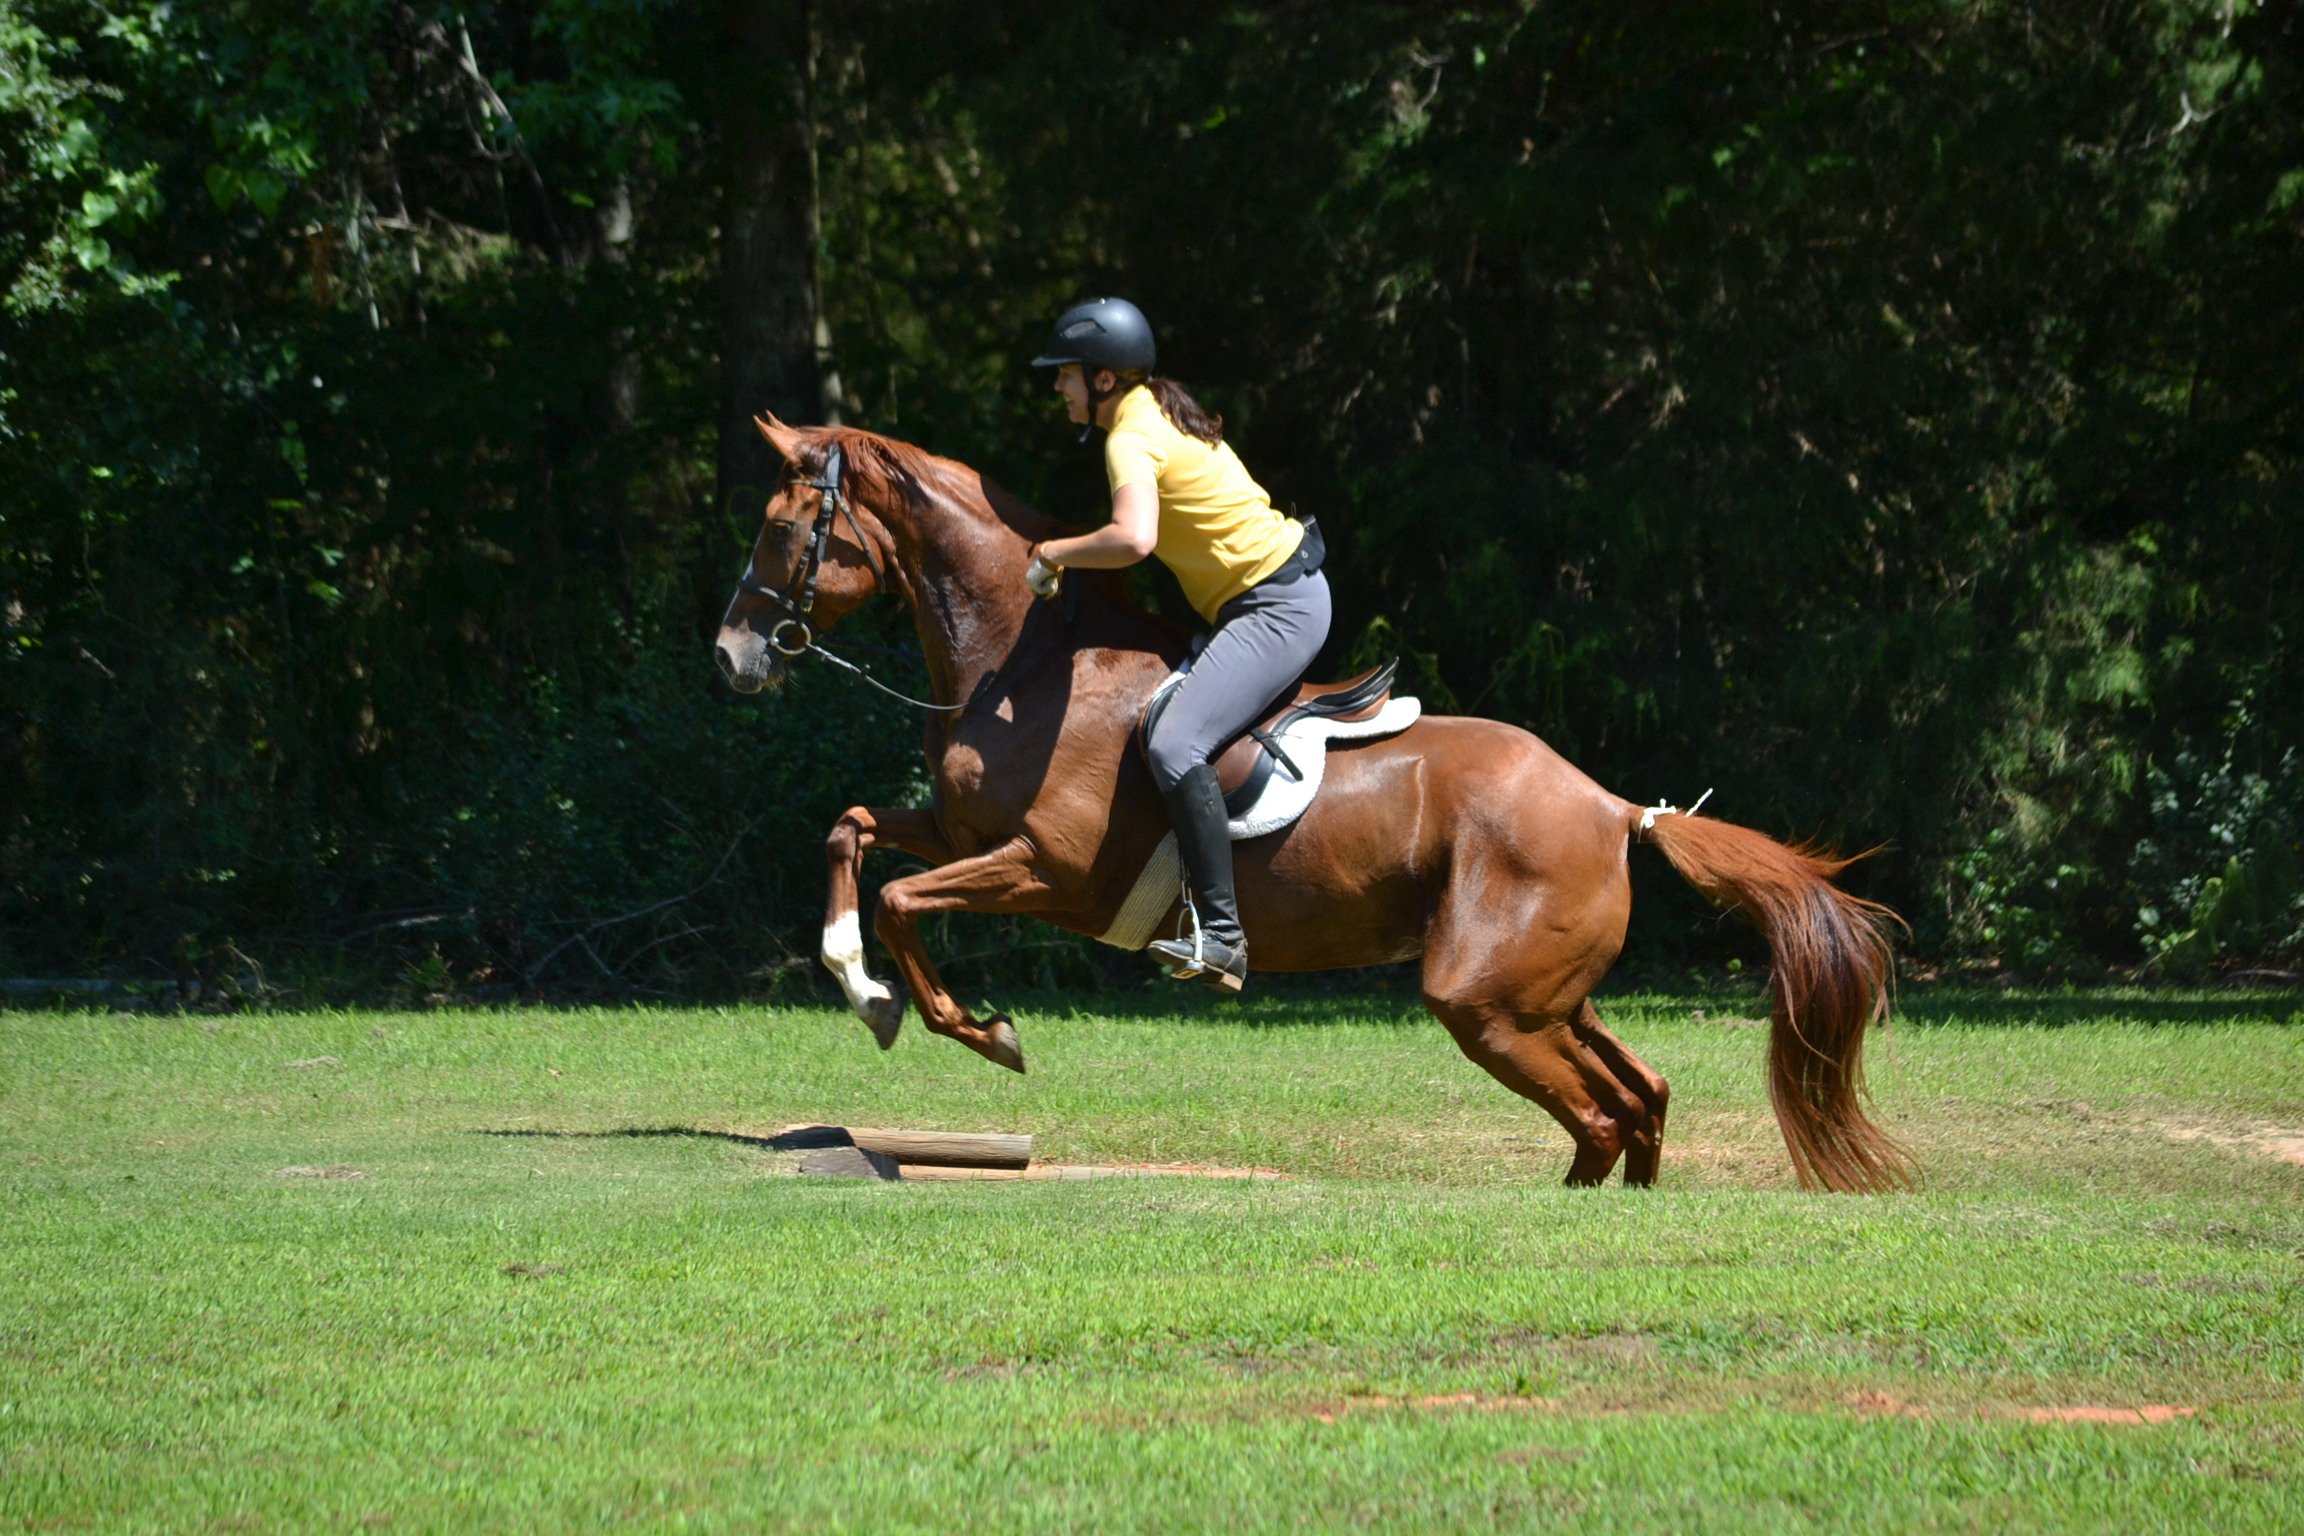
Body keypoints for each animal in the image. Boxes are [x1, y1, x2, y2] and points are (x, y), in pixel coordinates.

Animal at [714, 416, 1909, 1192]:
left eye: (780, 529)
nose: (729, 655)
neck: (1023, 664)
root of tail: (1616, 807)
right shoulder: (965, 834)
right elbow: (852, 833)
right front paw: (863, 987)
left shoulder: (1046, 872)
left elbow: (905, 901)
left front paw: (971, 1028)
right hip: (1545, 996)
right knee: (1639, 1095)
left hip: (1486, 1001)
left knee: (1602, 1113)